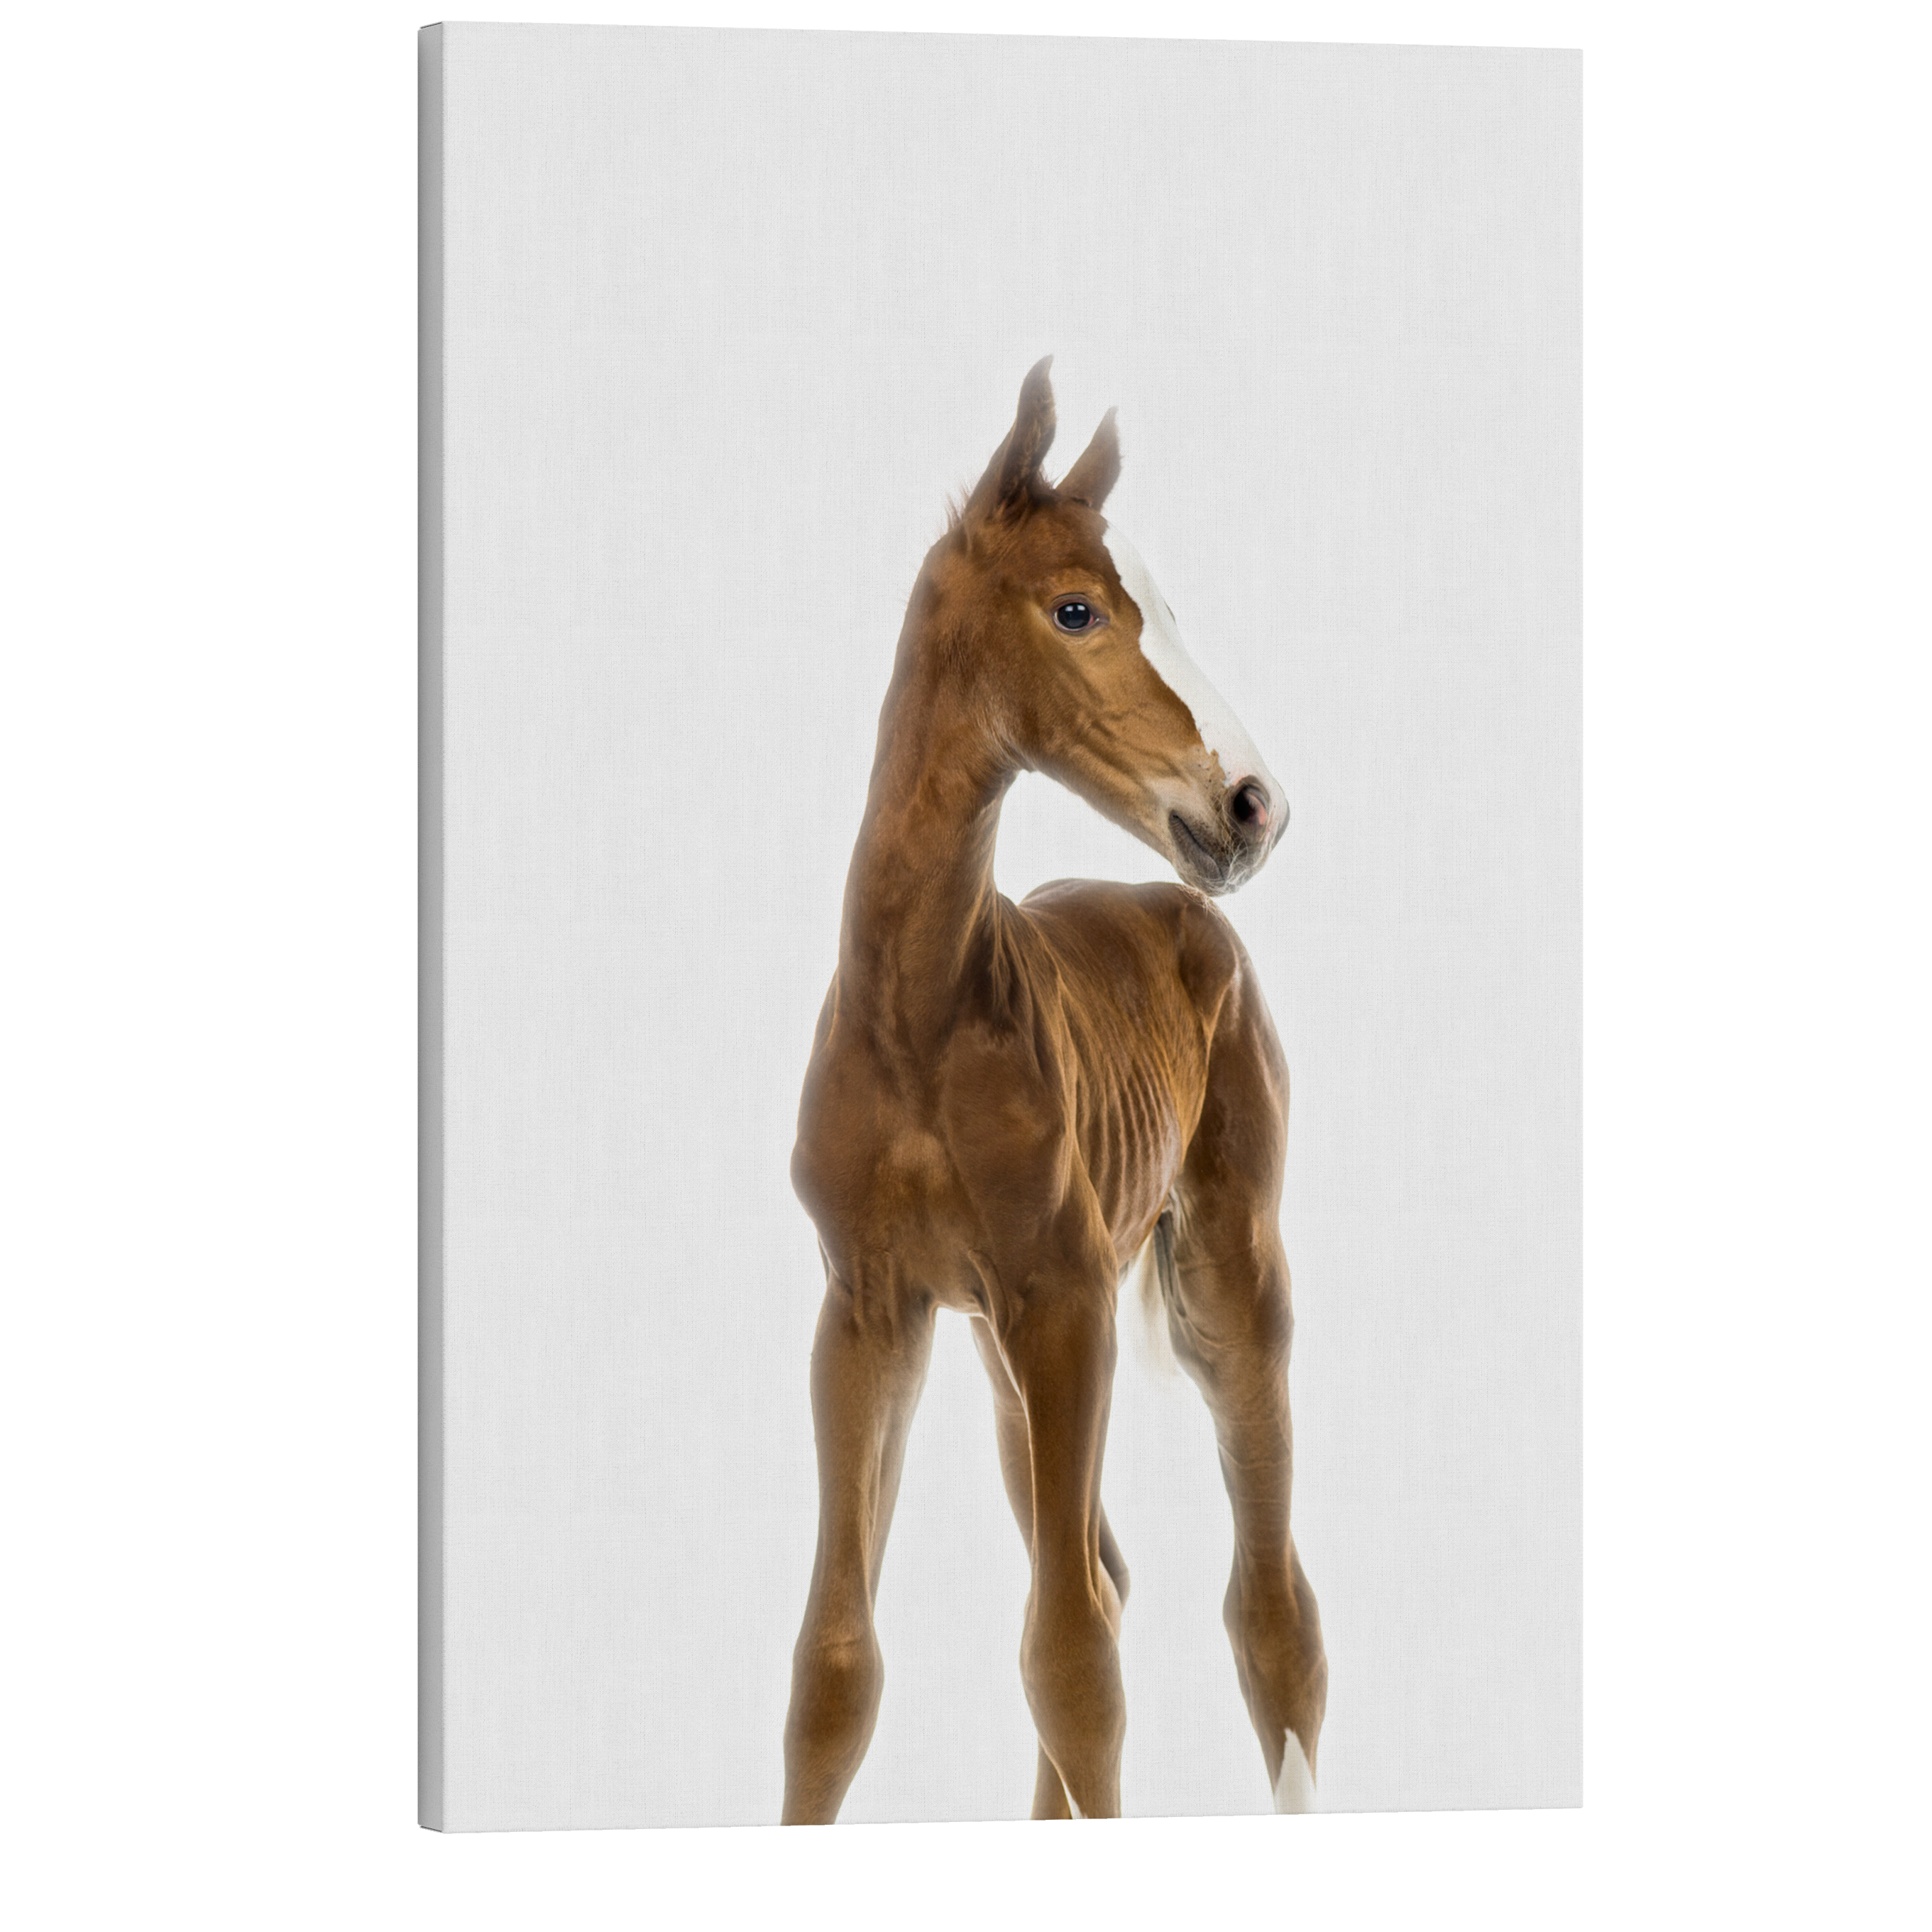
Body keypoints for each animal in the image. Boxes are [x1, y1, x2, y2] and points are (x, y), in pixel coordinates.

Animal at [780, 360, 1326, 1824]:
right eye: (1076, 608)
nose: (1251, 805)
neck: (919, 1019)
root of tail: (1176, 909)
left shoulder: (1065, 1298)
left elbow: (1073, 1663)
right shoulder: (870, 1307)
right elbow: (836, 1670)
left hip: (1224, 1275)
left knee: (1269, 1617)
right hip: (997, 1342)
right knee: (1106, 1576)